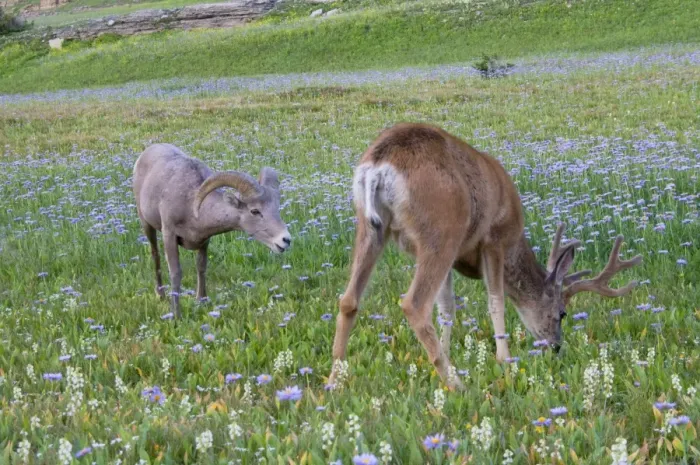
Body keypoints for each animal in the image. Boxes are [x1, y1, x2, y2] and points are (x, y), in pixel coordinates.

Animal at [133, 143, 291, 318]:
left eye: (276, 207)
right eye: (255, 211)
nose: (285, 239)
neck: (191, 207)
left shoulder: (204, 241)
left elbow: (201, 267)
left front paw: (202, 301)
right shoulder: (169, 235)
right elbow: (175, 273)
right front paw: (176, 314)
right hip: (146, 225)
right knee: (155, 256)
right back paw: (160, 295)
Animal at [328, 123, 642, 390]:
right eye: (562, 313)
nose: (555, 346)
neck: (515, 242)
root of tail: (378, 165)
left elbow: (448, 309)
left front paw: (449, 351)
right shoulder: (494, 239)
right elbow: (496, 300)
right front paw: (504, 359)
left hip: (370, 227)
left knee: (348, 300)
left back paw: (335, 380)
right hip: (441, 229)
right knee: (414, 304)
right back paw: (456, 384)